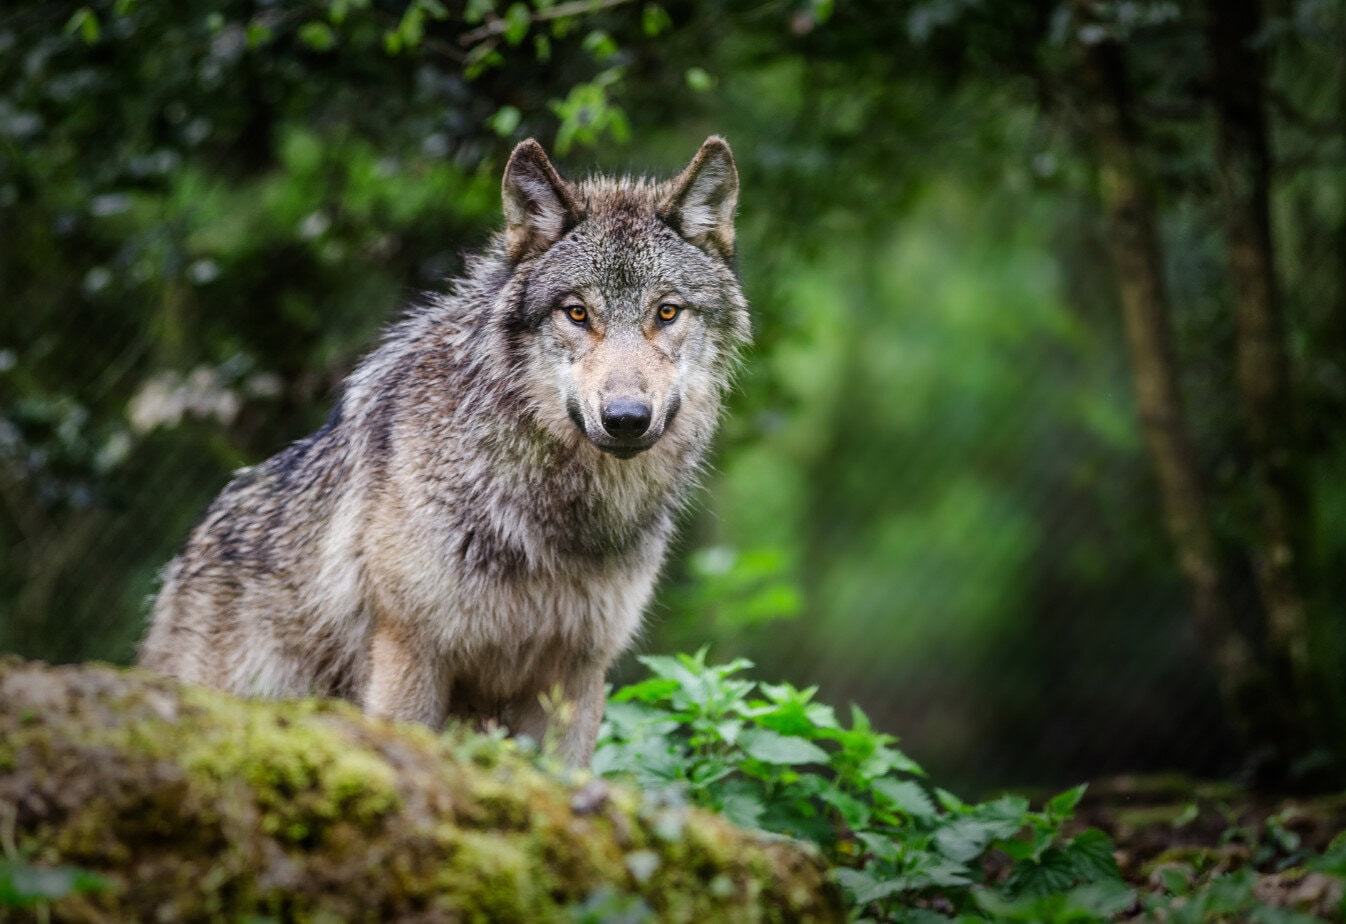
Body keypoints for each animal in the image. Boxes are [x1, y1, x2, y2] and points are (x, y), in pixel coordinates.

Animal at [137, 137, 749, 766]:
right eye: (577, 313)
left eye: (667, 312)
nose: (626, 419)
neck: (553, 518)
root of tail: (187, 555)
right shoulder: (410, 654)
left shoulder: (576, 674)